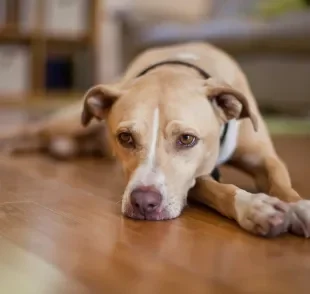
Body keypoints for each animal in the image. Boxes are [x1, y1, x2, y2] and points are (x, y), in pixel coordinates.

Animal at [1, 42, 308, 238]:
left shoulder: (264, 157)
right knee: (32, 130)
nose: (143, 203)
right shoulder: (191, 180)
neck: (178, 67)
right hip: (68, 121)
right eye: (125, 137)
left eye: (187, 139)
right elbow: (215, 188)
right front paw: (255, 207)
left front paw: (299, 206)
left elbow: (280, 181)